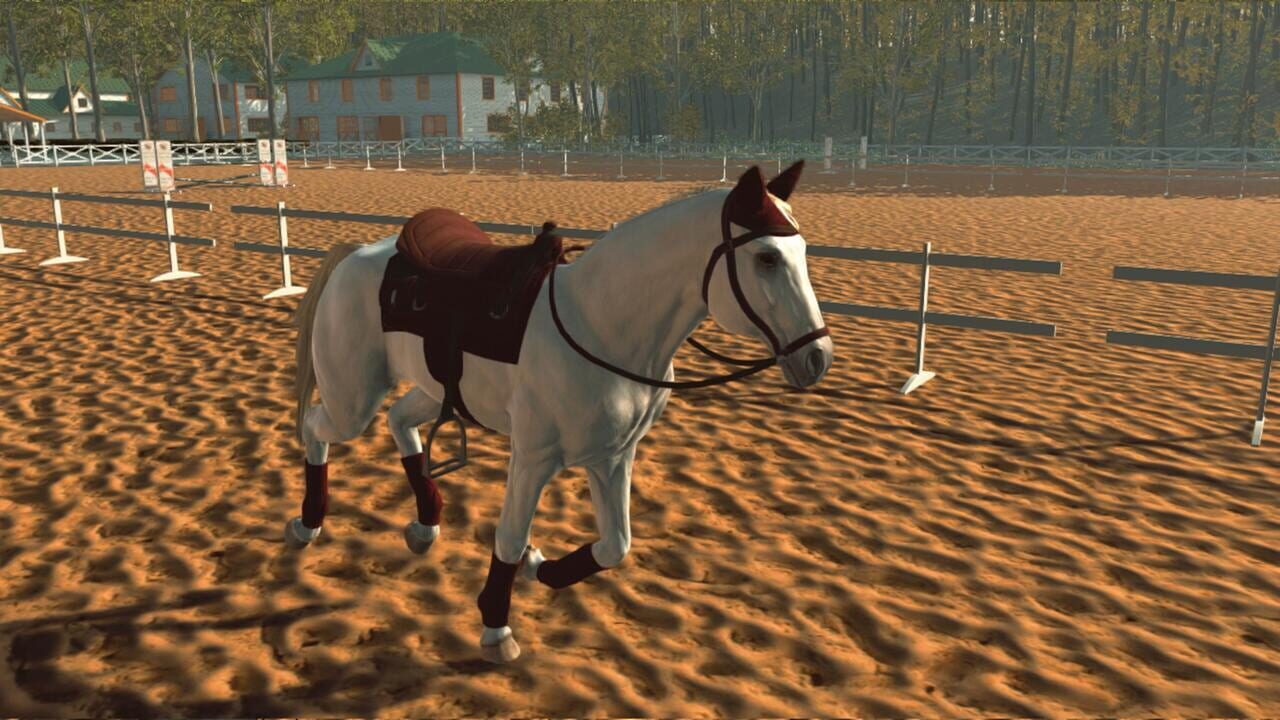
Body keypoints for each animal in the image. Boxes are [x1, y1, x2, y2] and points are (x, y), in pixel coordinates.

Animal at [285, 161, 833, 663]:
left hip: (433, 390)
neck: (599, 325)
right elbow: (509, 536)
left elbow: (615, 545)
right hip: (353, 398)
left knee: (399, 420)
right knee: (317, 426)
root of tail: (357, 253)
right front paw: (496, 628)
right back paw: (307, 525)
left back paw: (424, 526)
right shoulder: (533, 458)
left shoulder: (612, 456)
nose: (817, 358)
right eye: (766, 258)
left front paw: (537, 565)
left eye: (804, 253)